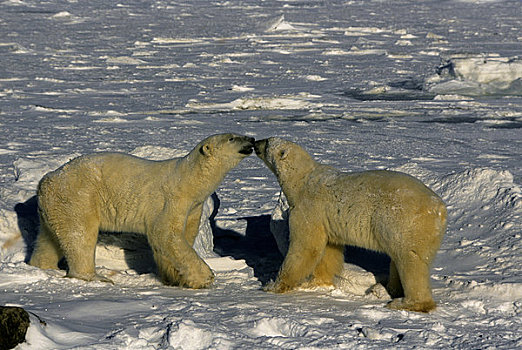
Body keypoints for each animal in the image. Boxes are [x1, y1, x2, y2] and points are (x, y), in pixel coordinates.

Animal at [29, 133, 253, 288]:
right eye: (232, 137)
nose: (251, 138)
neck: (188, 180)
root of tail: (46, 181)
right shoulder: (169, 199)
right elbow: (166, 235)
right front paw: (205, 277)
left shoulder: (194, 206)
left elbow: (182, 237)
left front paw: (174, 277)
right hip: (78, 199)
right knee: (80, 237)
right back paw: (95, 277)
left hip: (53, 207)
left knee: (49, 240)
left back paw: (42, 266)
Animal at [254, 137, 444, 312]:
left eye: (267, 142)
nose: (255, 142)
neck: (301, 180)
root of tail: (440, 208)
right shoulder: (325, 220)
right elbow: (329, 250)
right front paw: (317, 283)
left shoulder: (308, 209)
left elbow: (304, 247)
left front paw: (272, 286)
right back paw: (385, 289)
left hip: (405, 223)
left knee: (410, 261)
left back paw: (405, 303)